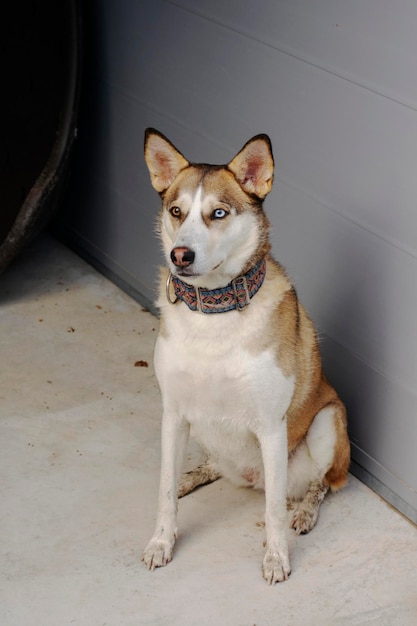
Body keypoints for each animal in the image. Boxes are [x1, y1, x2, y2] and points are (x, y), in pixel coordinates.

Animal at [141, 129, 350, 584]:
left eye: (218, 213)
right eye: (176, 211)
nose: (179, 255)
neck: (213, 313)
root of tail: (250, 478)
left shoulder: (271, 426)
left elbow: (272, 512)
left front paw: (276, 558)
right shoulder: (172, 412)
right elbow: (163, 492)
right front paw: (161, 542)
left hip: (328, 422)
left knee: (321, 485)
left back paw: (304, 511)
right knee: (212, 465)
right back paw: (192, 475)